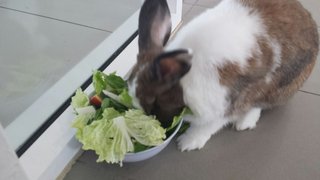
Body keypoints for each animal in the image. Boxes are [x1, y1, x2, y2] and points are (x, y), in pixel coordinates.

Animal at [127, 0, 318, 152]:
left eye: (154, 102)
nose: (164, 129)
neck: (184, 80)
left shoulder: (226, 106)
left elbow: (206, 128)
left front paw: (186, 143)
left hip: (280, 87)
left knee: (260, 104)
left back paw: (244, 122)